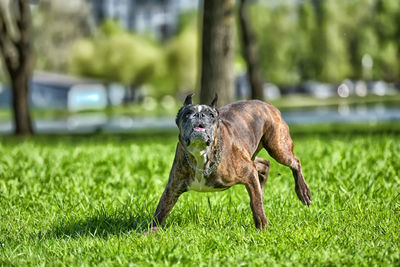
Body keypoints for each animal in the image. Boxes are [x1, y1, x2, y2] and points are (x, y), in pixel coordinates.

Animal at [148, 94, 310, 232]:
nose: (199, 115)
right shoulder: (172, 188)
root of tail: (266, 104)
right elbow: (160, 211)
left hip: (277, 147)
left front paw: (262, 228)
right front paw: (150, 232)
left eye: (211, 115)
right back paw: (262, 187)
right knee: (264, 164)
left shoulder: (248, 173)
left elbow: (255, 205)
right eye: (187, 114)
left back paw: (303, 191)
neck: (201, 154)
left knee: (295, 162)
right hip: (250, 155)